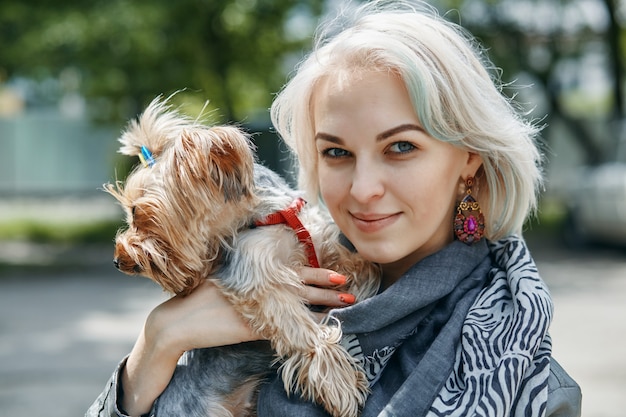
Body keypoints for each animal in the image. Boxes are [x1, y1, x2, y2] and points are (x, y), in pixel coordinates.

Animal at [106, 98, 380, 416]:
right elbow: (299, 328)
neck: (273, 215)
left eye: (136, 212)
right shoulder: (256, 275)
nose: (118, 260)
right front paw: (338, 383)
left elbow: (361, 268)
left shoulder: (332, 249)